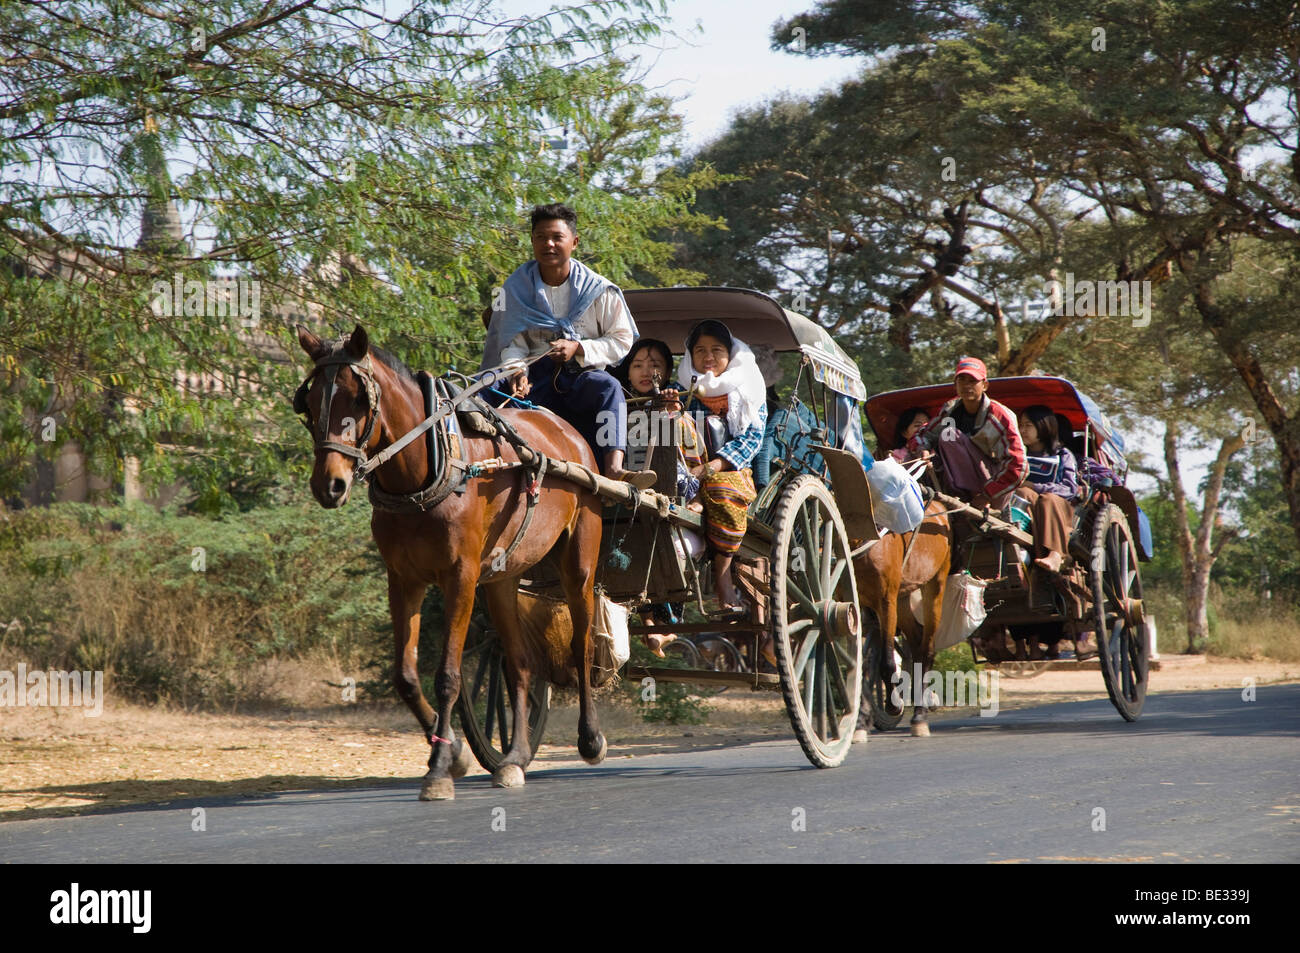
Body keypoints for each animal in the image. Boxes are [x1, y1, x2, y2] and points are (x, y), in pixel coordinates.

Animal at [299, 323, 608, 800]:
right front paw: (457, 753)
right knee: (519, 663)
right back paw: (514, 758)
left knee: (581, 644)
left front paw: (441, 769)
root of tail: (567, 432)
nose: (328, 484)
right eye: (310, 404)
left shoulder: (460, 576)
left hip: (579, 561)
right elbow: (406, 676)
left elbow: (447, 675)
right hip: (502, 577)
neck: (423, 470)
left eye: (358, 400)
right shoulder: (403, 580)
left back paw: (590, 738)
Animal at [857, 499, 951, 738]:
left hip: (935, 585)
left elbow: (887, 661)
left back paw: (919, 716)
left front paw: (893, 704)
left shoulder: (886, 600)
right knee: (916, 644)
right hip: (904, 596)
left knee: (927, 649)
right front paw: (860, 722)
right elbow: (861, 664)